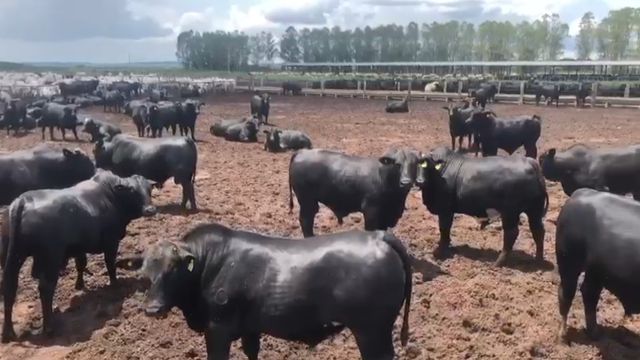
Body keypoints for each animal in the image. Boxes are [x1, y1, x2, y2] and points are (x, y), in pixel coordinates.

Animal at [0, 170, 156, 342]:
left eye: (149, 189)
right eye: (132, 191)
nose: (150, 209)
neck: (110, 195)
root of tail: (22, 201)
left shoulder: (79, 247)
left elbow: (81, 264)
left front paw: (79, 285)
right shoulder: (111, 241)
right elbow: (110, 264)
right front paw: (115, 284)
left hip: (12, 257)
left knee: (9, 287)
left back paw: (8, 332)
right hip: (51, 258)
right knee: (46, 288)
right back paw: (49, 327)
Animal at [118, 224, 412, 360]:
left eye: (174, 269)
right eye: (144, 273)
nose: (152, 309)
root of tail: (378, 236)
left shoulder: (217, 329)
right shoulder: (250, 328)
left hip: (371, 330)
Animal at [290, 148, 420, 238]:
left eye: (415, 164)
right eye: (397, 164)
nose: (406, 182)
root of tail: (302, 152)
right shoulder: (371, 211)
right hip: (307, 201)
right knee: (306, 221)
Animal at [418, 147, 548, 268]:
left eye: (427, 165)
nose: (420, 181)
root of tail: (531, 163)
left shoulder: (445, 210)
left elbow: (444, 229)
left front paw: (439, 252)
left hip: (510, 212)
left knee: (511, 233)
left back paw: (499, 262)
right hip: (534, 210)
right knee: (538, 231)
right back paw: (538, 260)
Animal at [556, 190, 640, 342]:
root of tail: (580, 193)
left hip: (595, 271)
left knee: (589, 293)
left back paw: (594, 332)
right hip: (569, 262)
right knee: (566, 294)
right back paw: (562, 335)